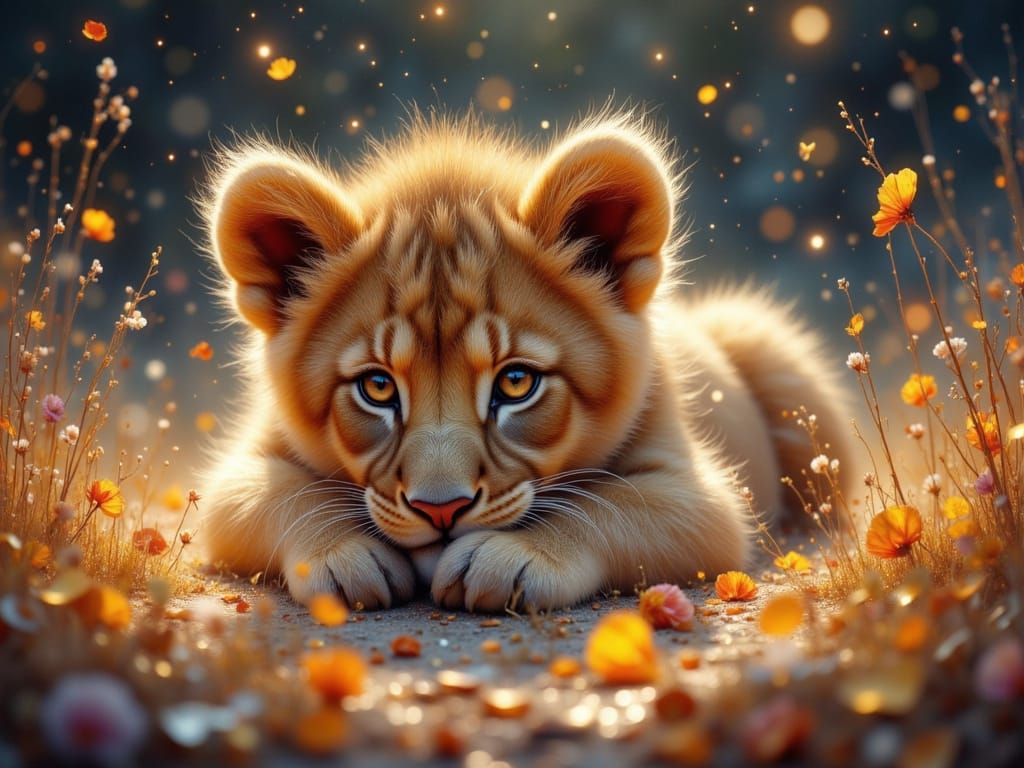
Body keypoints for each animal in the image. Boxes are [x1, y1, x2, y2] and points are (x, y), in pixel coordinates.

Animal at [200, 109, 850, 612]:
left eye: (516, 383)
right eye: (377, 389)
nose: (442, 510)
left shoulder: (702, 501)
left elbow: (609, 507)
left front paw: (510, 559)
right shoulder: (238, 473)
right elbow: (277, 498)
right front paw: (345, 556)